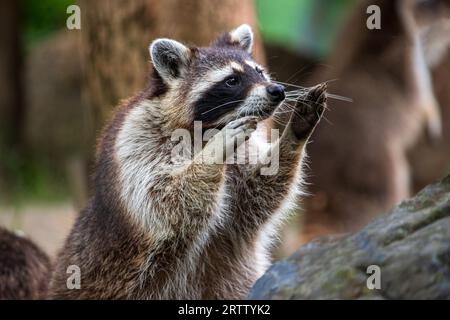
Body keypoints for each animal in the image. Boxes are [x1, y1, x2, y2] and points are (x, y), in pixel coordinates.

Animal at [49, 25, 326, 300]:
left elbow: (258, 195)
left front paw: (293, 135)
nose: (277, 90)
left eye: (258, 72)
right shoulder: (136, 141)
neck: (209, 127)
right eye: (232, 80)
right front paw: (215, 152)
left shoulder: (244, 159)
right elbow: (162, 201)